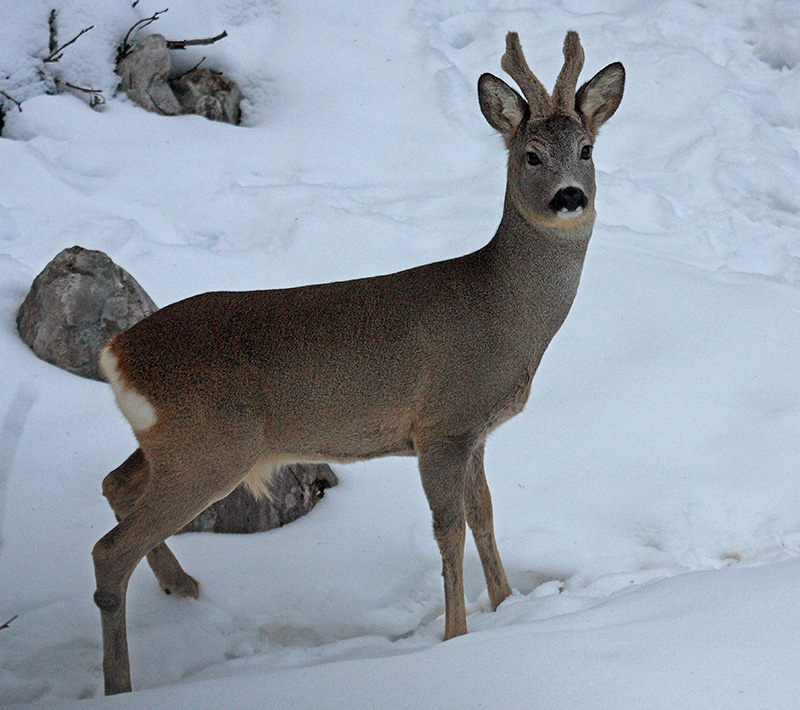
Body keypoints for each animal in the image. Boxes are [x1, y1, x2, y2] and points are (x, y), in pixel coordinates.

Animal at [89, 32, 624, 696]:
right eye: (530, 155)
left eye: (587, 149)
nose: (570, 196)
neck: (501, 312)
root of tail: (117, 353)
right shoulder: (441, 424)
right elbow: (448, 529)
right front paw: (457, 637)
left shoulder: (475, 431)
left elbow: (485, 514)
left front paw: (509, 607)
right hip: (208, 449)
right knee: (109, 552)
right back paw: (120, 683)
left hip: (175, 445)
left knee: (115, 486)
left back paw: (182, 586)